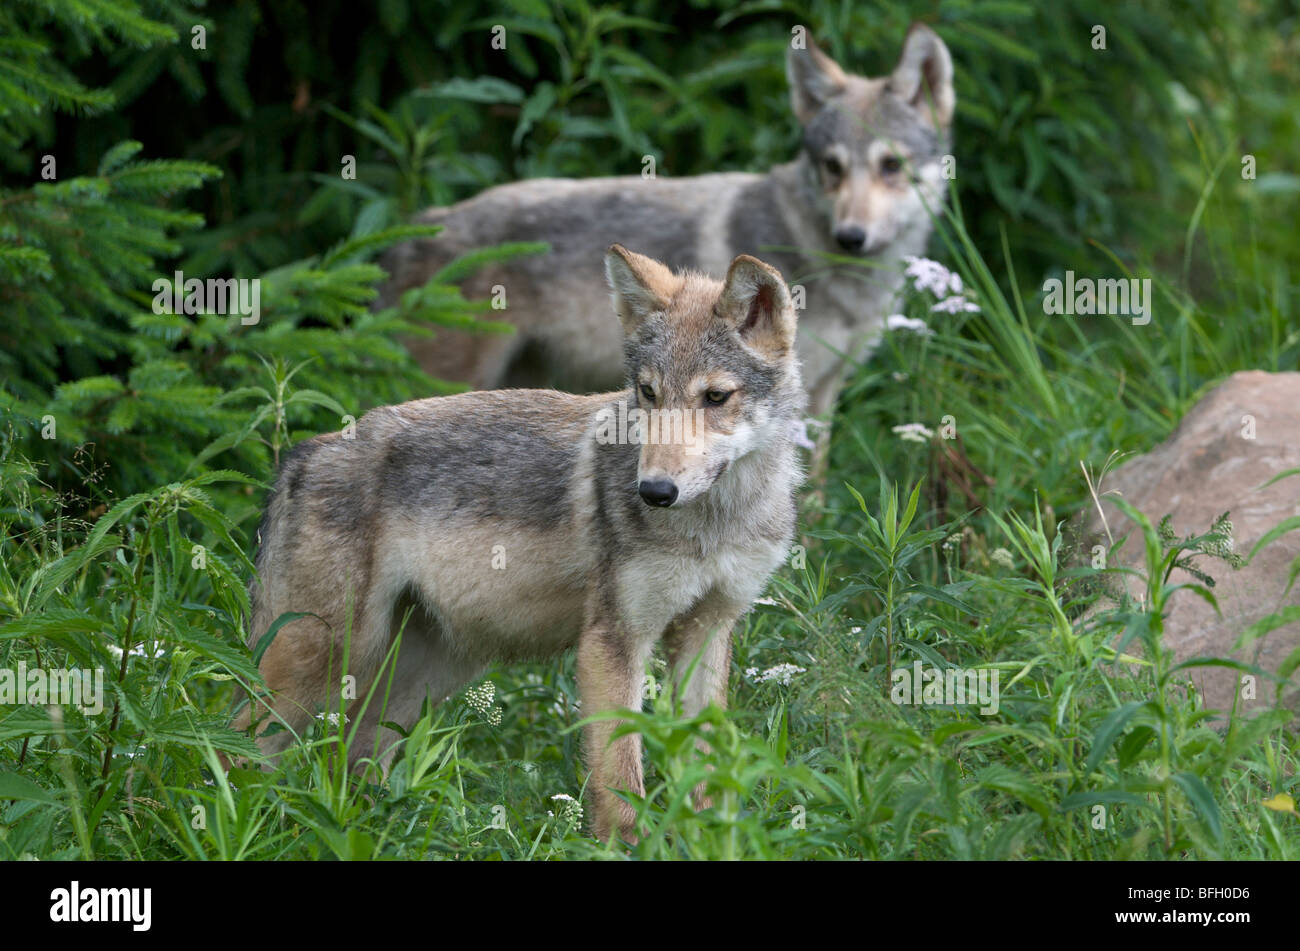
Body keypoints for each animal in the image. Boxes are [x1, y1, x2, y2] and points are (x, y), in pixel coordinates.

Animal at [235, 242, 800, 841]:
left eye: (715, 397)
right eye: (649, 393)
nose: (652, 491)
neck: (717, 521)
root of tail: (302, 454)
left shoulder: (708, 632)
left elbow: (708, 782)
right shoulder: (612, 642)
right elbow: (621, 784)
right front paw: (625, 848)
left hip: (423, 677)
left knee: (349, 759)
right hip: (322, 665)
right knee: (235, 745)